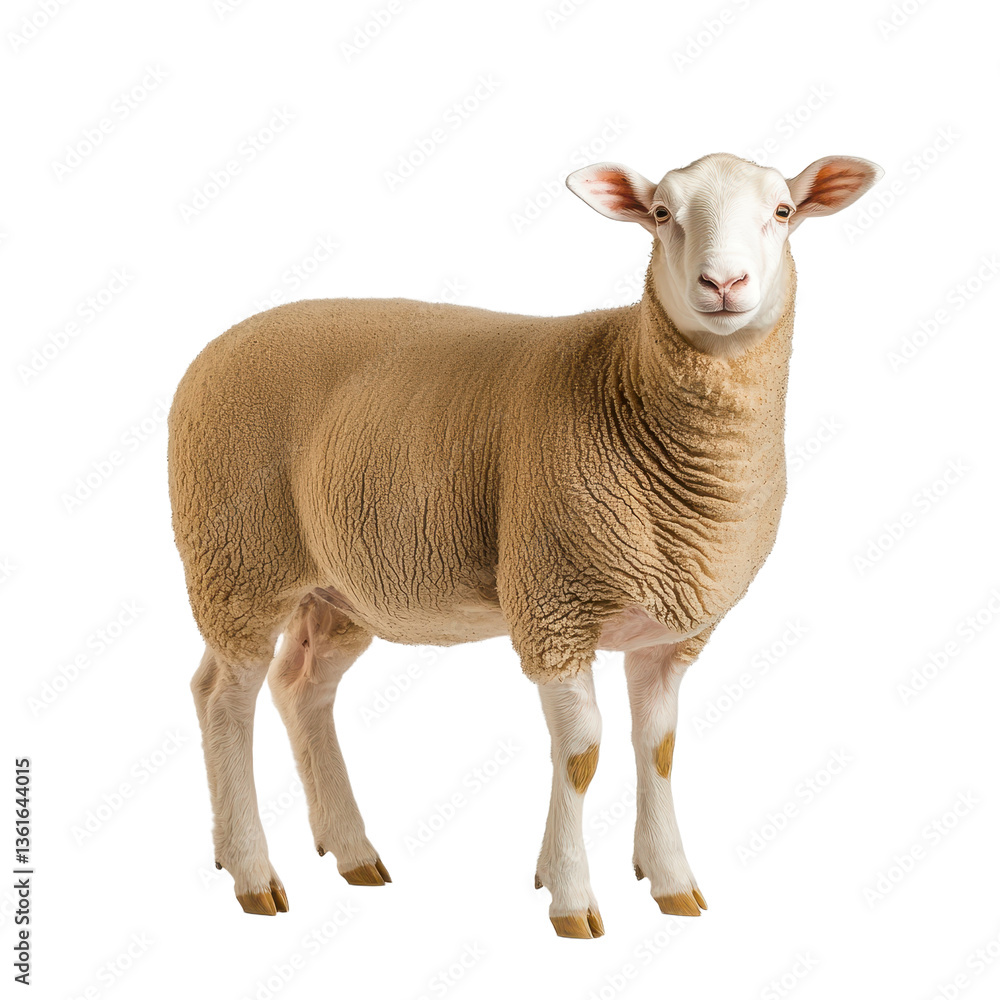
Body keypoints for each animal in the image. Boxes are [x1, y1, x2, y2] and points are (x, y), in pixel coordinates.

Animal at [168, 151, 882, 937]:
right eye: (662, 213)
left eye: (782, 210)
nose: (723, 284)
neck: (625, 384)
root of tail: (214, 348)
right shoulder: (553, 603)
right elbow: (581, 753)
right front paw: (570, 897)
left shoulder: (670, 629)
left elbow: (658, 749)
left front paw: (670, 883)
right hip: (238, 557)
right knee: (223, 696)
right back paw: (252, 873)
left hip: (336, 585)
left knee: (301, 687)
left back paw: (352, 852)